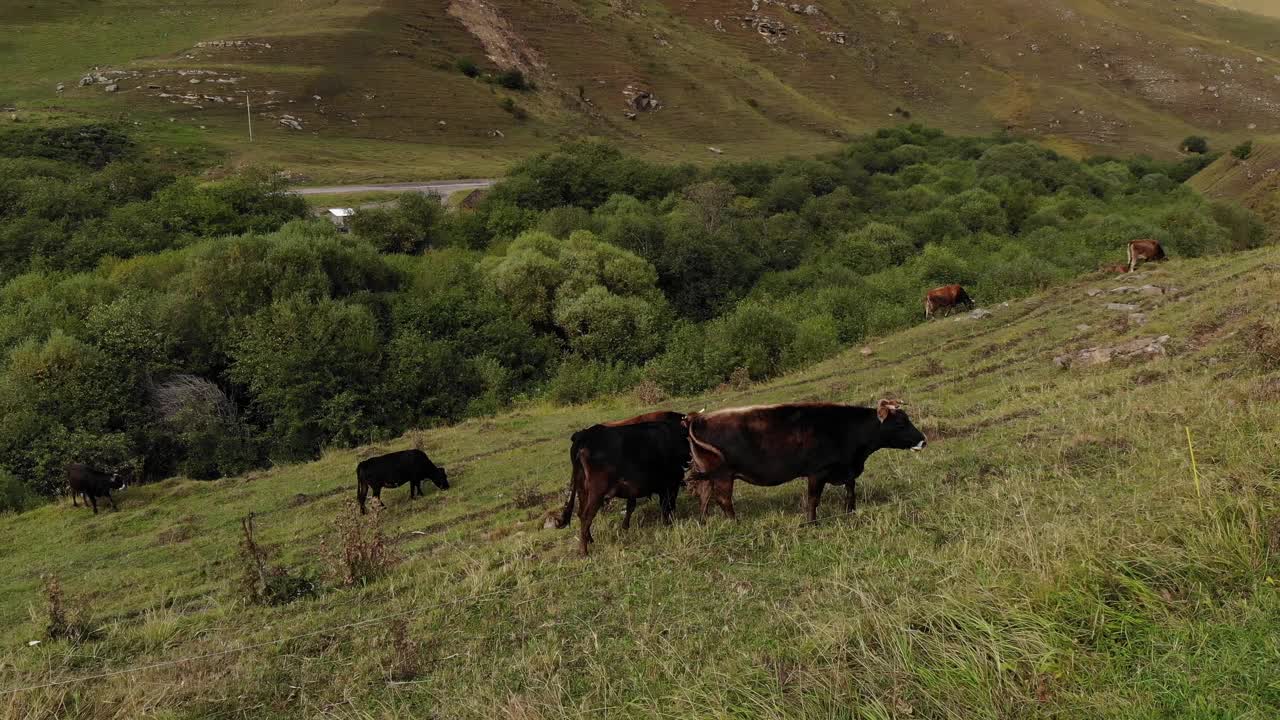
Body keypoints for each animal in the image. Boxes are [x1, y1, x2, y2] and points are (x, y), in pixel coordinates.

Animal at [550, 415, 691, 556]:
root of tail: (584, 435)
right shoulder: (669, 484)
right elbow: (666, 505)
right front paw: (668, 523)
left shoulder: (635, 488)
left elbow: (632, 506)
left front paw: (625, 527)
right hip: (597, 491)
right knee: (586, 516)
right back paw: (584, 551)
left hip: (582, 489)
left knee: (580, 513)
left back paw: (589, 539)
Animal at [686, 397, 926, 520]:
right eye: (900, 423)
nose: (923, 440)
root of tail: (697, 418)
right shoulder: (817, 472)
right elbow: (813, 499)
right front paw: (812, 523)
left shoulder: (846, 469)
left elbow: (851, 491)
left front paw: (850, 512)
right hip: (723, 476)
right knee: (723, 500)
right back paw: (735, 523)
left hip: (710, 477)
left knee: (704, 497)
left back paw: (704, 522)